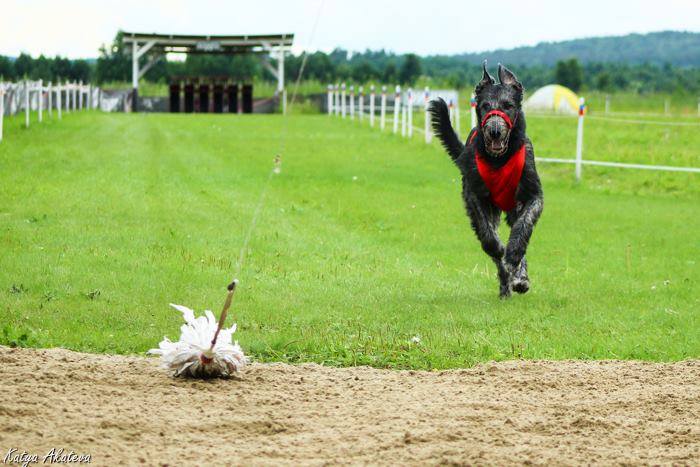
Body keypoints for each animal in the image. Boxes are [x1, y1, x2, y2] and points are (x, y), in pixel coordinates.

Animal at [430, 63, 544, 300]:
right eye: (484, 105)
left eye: (508, 106)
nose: (495, 131)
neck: (499, 159)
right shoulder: (475, 195)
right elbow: (488, 235)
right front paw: (500, 250)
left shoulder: (532, 194)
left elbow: (523, 226)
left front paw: (514, 256)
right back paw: (505, 286)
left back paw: (519, 277)